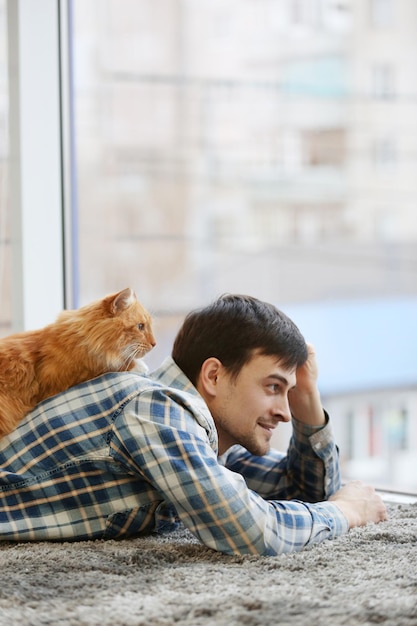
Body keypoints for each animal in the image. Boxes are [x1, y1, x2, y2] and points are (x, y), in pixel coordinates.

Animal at [0, 286, 155, 436]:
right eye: (140, 326)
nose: (154, 344)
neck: (79, 339)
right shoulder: (67, 376)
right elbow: (108, 366)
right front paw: (140, 366)